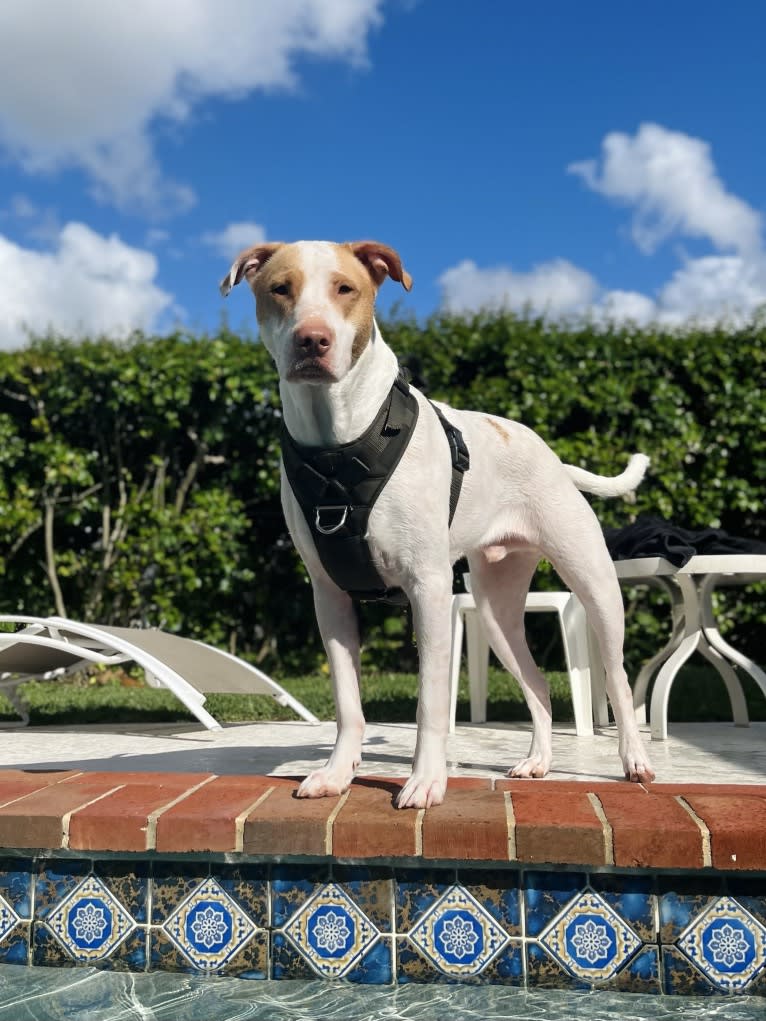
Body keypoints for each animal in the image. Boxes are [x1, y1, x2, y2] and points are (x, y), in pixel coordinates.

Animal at [218, 238, 657, 804]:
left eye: (345, 288)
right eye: (279, 288)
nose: (312, 339)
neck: (339, 445)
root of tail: (551, 456)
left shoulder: (427, 588)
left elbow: (430, 700)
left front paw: (425, 781)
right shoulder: (330, 597)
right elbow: (347, 701)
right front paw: (337, 774)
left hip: (595, 584)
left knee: (619, 678)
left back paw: (634, 761)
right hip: (494, 609)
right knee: (537, 683)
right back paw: (537, 761)